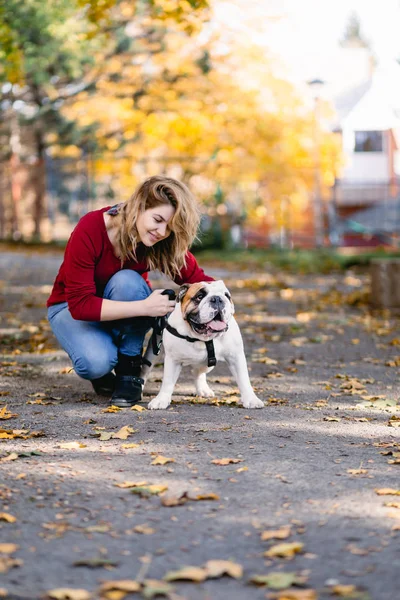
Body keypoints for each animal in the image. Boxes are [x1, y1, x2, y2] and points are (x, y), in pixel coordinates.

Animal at [142, 280, 264, 410]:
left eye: (227, 296)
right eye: (199, 296)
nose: (217, 299)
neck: (203, 338)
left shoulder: (235, 357)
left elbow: (243, 379)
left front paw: (251, 399)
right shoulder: (173, 360)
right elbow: (168, 381)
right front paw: (161, 400)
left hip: (207, 364)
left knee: (198, 372)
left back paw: (203, 389)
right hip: (154, 351)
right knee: (145, 369)